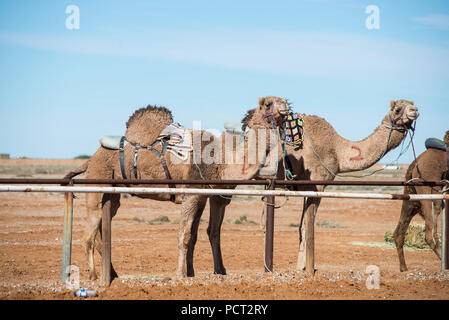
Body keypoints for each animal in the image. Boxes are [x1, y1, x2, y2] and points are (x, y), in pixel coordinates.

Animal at [65, 95, 288, 280]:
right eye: (269, 103)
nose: (285, 105)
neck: (220, 161)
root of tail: (90, 159)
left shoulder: (202, 196)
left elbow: (196, 235)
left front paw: (192, 273)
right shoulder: (191, 194)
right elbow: (185, 235)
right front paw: (180, 274)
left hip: (112, 194)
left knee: (102, 229)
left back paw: (112, 274)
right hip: (96, 183)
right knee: (88, 234)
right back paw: (94, 276)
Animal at [394, 131, 446, 272]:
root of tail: (414, 164)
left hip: (411, 198)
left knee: (399, 232)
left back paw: (403, 267)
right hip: (428, 191)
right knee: (430, 232)